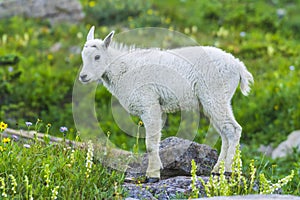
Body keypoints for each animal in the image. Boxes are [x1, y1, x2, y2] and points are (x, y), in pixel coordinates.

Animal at [79, 26, 253, 183]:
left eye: (97, 57)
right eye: (82, 56)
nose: (83, 76)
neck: (123, 71)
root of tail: (239, 67)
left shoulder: (149, 103)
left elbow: (150, 144)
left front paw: (152, 176)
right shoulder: (158, 107)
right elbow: (156, 141)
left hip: (215, 95)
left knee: (233, 129)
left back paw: (227, 169)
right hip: (215, 101)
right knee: (224, 132)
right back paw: (218, 169)